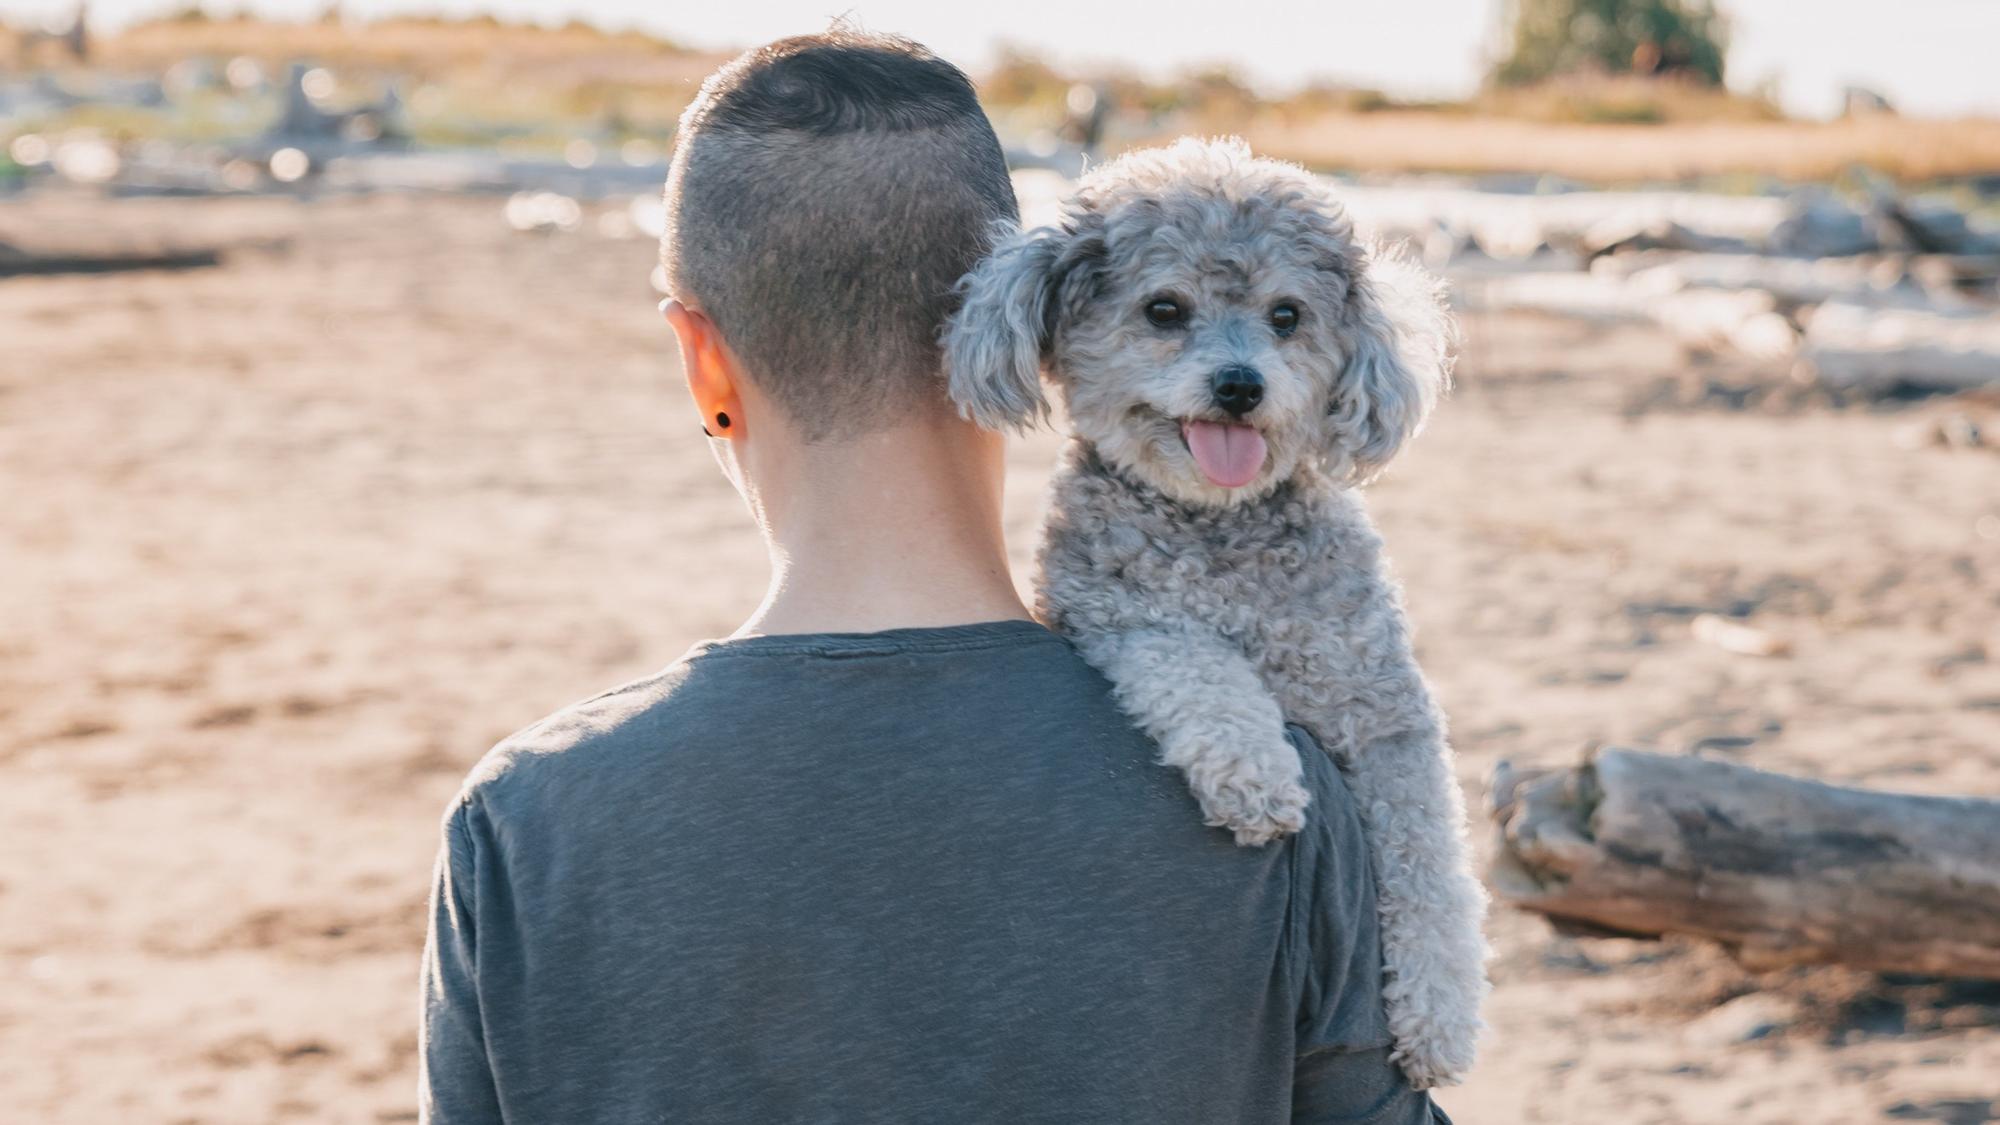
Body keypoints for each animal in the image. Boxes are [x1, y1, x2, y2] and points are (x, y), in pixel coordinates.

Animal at [944, 136, 1496, 1080]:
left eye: (1287, 316)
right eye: (1165, 309)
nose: (1239, 385)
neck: (1221, 527)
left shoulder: (1388, 713)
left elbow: (1432, 863)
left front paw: (1441, 1017)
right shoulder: (1119, 613)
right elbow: (1197, 670)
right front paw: (1258, 774)